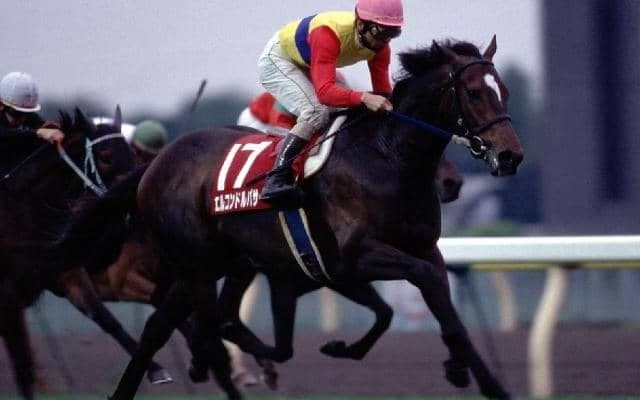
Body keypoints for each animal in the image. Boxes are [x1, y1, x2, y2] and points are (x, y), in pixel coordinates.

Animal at [0, 107, 135, 400]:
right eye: (105, 157)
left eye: (131, 153)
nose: (132, 198)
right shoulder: (6, 297)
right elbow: (23, 367)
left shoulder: (61, 274)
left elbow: (106, 319)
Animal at [57, 36, 521, 400]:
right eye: (474, 93)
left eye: (504, 90)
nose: (510, 156)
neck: (387, 159)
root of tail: (154, 164)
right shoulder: (355, 256)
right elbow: (418, 288)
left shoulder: (409, 253)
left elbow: (437, 306)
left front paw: (474, 375)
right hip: (195, 265)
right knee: (194, 325)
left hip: (224, 265)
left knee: (177, 324)